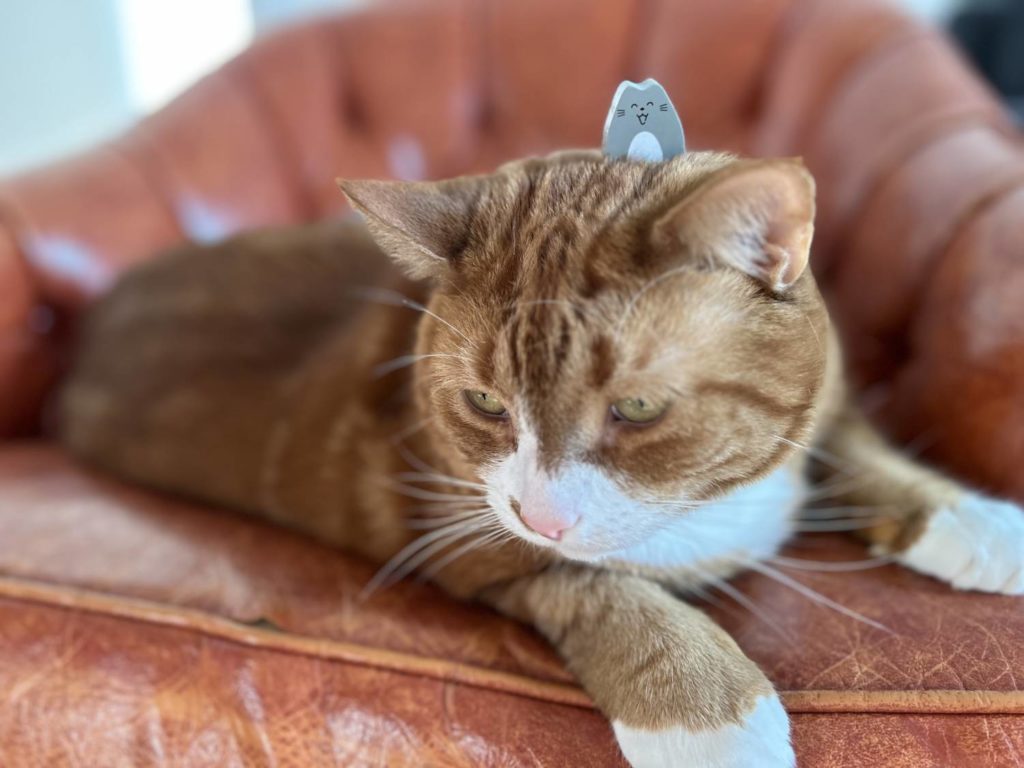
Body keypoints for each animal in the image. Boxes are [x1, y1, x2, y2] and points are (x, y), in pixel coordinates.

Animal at [59, 151, 1019, 768]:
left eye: (637, 408)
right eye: (487, 405)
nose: (542, 515)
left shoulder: (827, 398)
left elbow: (857, 444)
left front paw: (974, 519)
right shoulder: (467, 537)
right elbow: (600, 590)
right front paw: (709, 715)